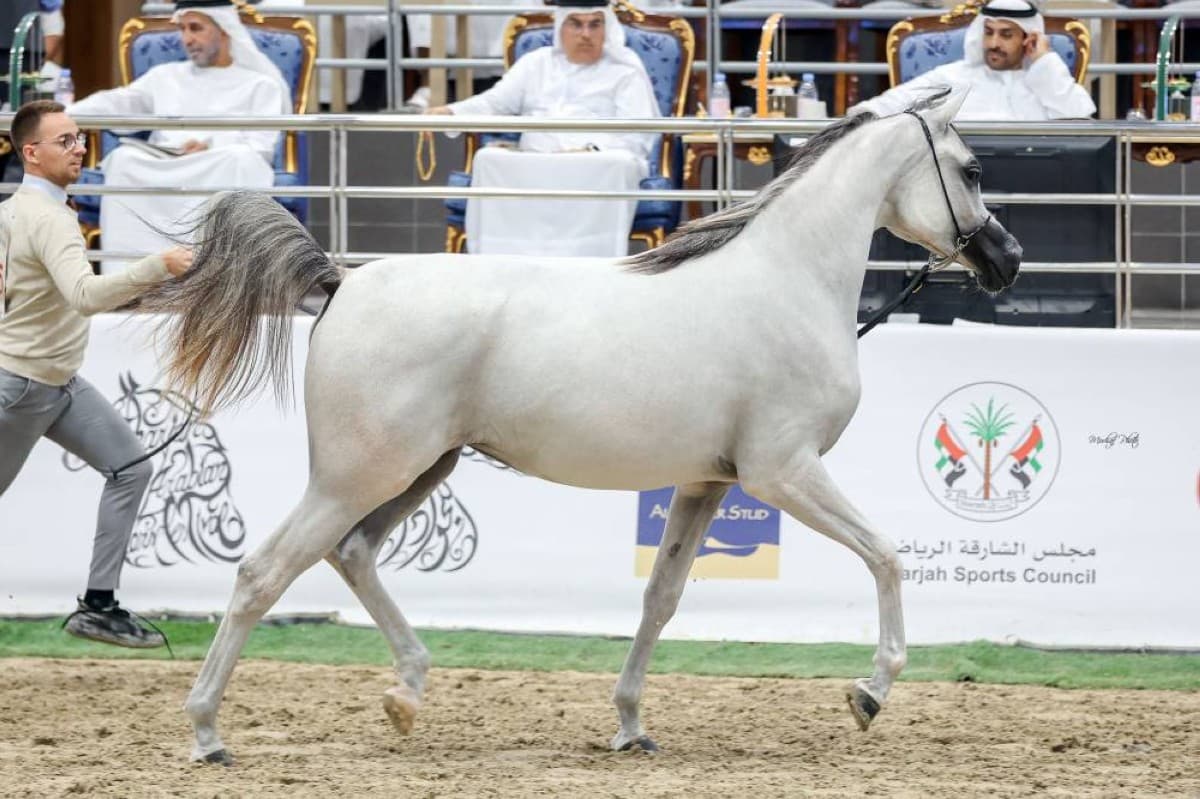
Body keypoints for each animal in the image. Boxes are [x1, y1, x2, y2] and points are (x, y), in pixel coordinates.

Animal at [137, 88, 1021, 765]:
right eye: (973, 170)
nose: (1006, 258)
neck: (787, 279)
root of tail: (342, 281)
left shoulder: (707, 482)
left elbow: (661, 598)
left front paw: (631, 725)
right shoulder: (785, 471)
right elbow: (886, 554)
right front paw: (870, 691)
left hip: (420, 468)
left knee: (351, 554)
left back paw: (408, 694)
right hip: (359, 473)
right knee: (265, 572)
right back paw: (208, 732)